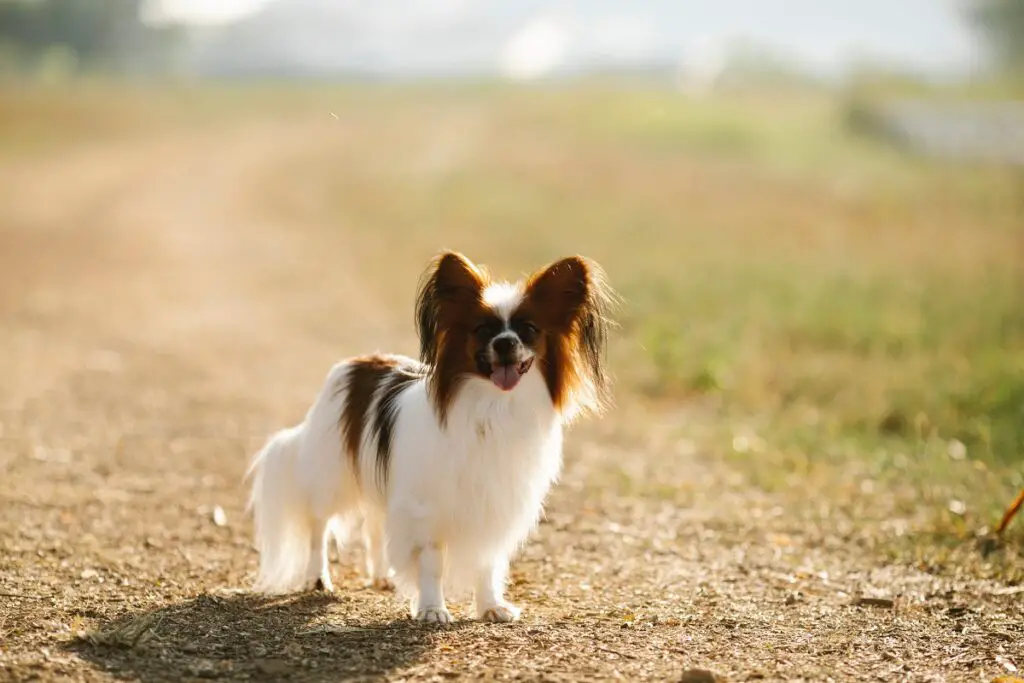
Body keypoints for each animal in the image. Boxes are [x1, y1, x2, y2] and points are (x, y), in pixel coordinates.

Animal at [245, 252, 614, 626]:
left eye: (528, 329)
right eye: (482, 330)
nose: (505, 343)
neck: (493, 406)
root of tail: (358, 362)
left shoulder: (493, 504)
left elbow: (487, 562)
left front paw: (491, 605)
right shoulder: (426, 508)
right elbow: (432, 563)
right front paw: (432, 608)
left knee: (375, 524)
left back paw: (382, 575)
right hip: (332, 477)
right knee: (319, 525)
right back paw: (317, 577)